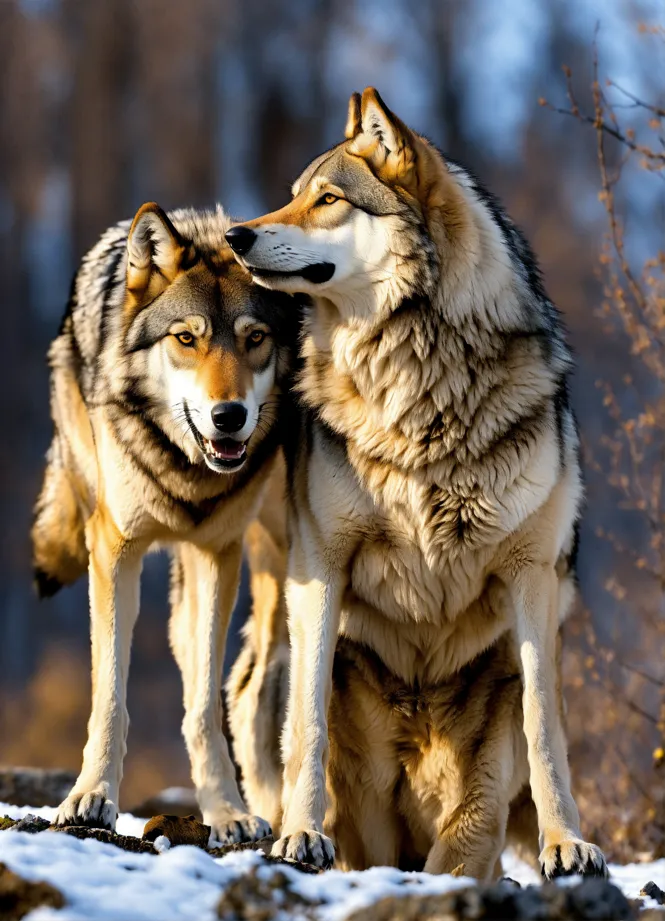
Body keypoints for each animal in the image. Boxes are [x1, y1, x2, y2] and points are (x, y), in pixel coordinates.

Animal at [32, 201, 298, 843]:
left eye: (255, 339)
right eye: (186, 339)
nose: (229, 416)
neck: (187, 474)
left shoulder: (218, 554)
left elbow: (202, 705)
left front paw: (227, 813)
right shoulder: (115, 550)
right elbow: (109, 692)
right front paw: (89, 799)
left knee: (252, 685)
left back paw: (274, 813)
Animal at [224, 88, 608, 879]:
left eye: (327, 198)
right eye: (293, 193)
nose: (236, 236)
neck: (418, 386)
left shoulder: (532, 577)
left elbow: (545, 730)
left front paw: (567, 844)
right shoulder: (322, 566)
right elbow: (306, 721)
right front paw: (300, 833)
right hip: (280, 607)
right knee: (265, 705)